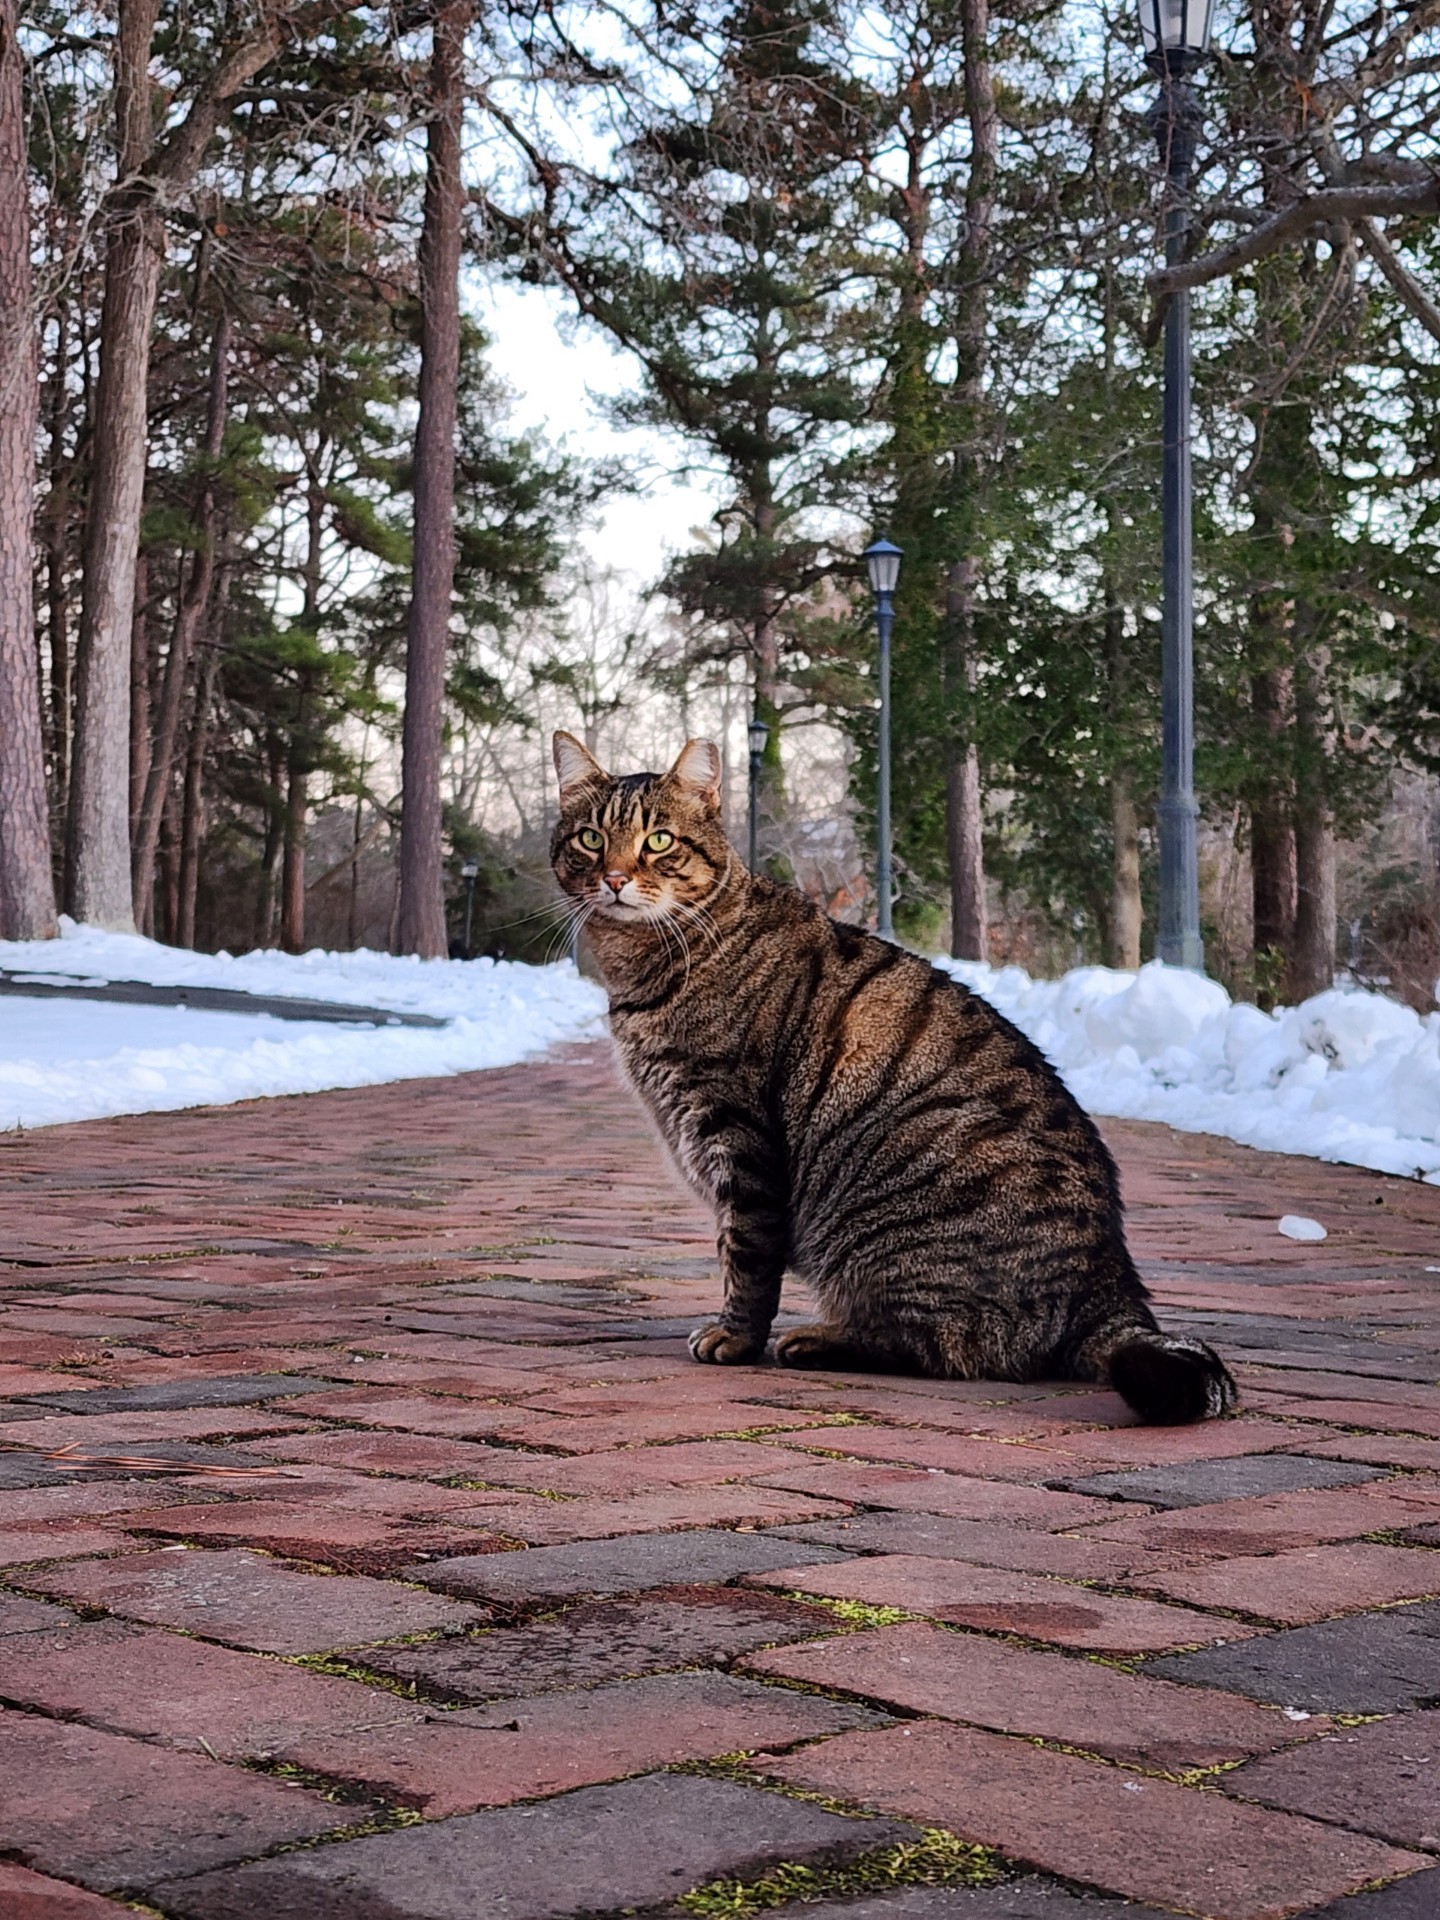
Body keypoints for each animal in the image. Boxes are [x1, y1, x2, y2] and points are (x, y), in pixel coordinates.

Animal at [552, 725, 1244, 1420]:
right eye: (591, 839)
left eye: (658, 840)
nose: (615, 878)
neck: (642, 966)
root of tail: (1112, 1282)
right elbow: (732, 1245)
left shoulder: (738, 1133)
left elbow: (746, 1253)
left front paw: (736, 1337)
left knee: (960, 1345)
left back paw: (817, 1339)